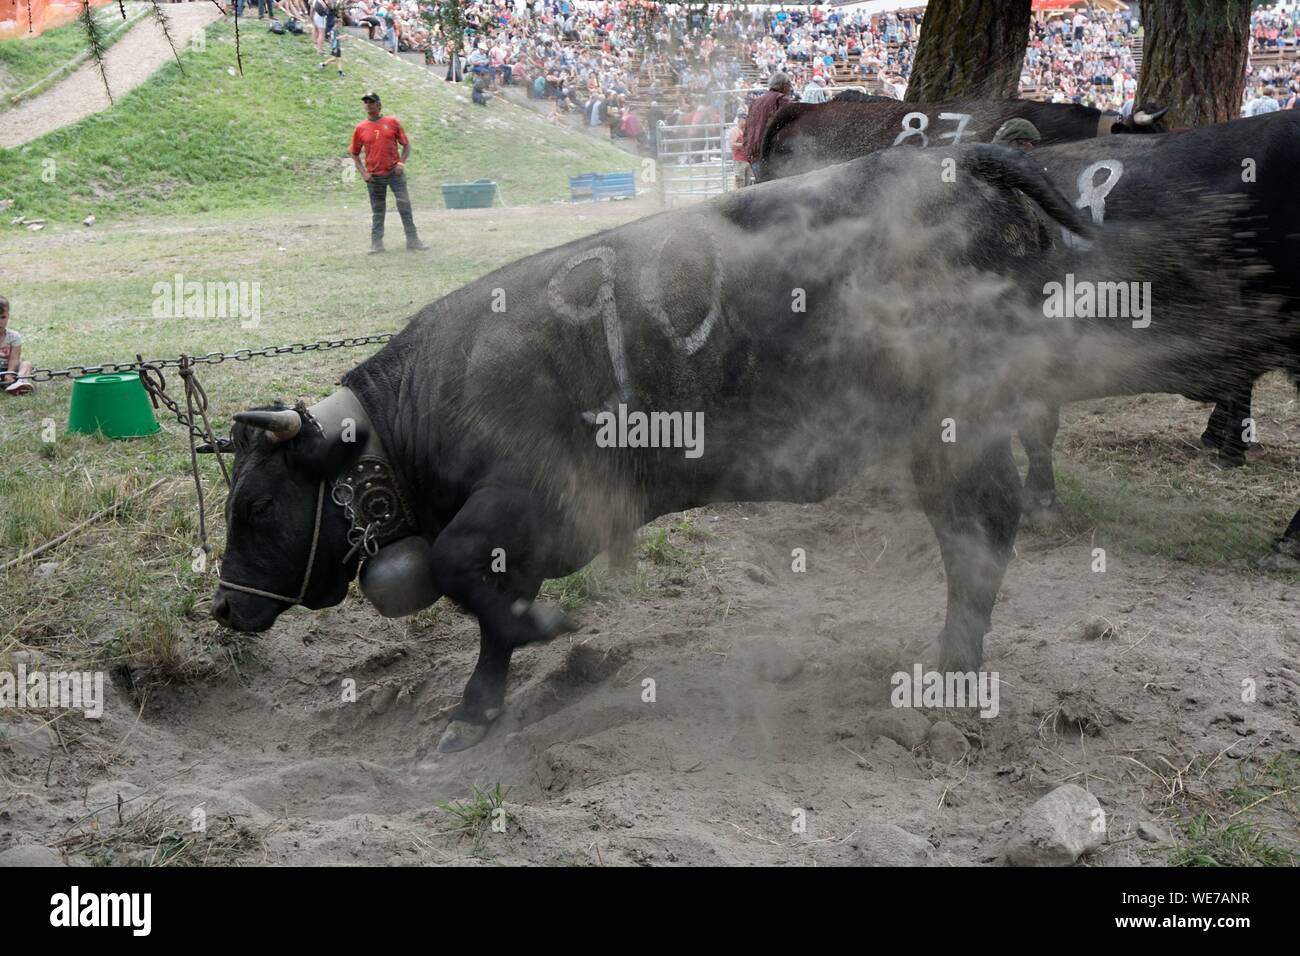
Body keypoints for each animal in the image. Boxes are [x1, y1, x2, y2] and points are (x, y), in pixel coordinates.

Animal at [208, 145, 1274, 749]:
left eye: (255, 506)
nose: (223, 607)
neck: (430, 396)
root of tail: (965, 159)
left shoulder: (532, 501)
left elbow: (469, 576)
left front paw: (544, 637)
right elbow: (487, 619)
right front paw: (476, 713)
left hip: (958, 424)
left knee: (982, 534)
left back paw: (952, 675)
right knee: (974, 536)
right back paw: (950, 663)